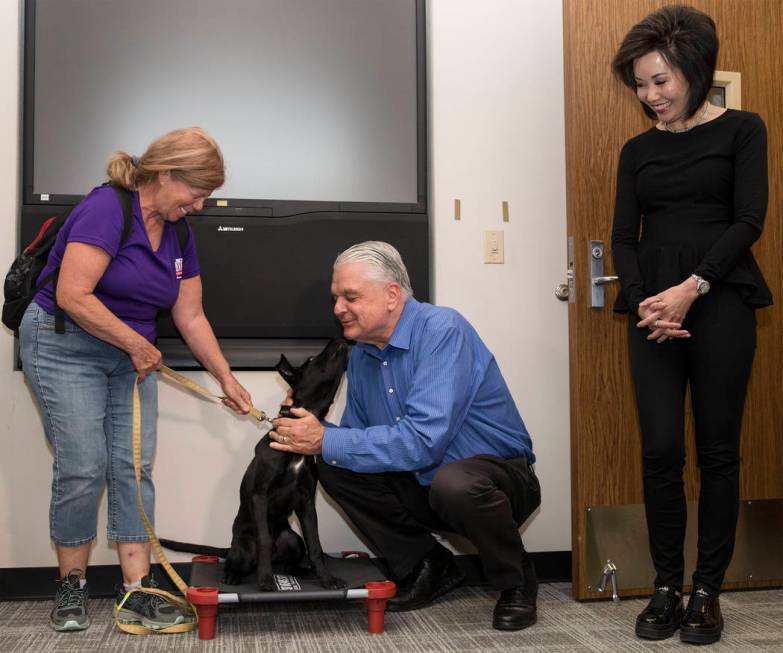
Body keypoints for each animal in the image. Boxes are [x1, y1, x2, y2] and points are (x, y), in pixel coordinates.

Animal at [159, 336, 350, 592]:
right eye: (311, 359)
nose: (338, 338)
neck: (293, 446)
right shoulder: (260, 495)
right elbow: (264, 540)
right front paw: (266, 579)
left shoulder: (307, 501)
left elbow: (315, 544)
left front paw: (326, 578)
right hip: (244, 546)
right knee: (237, 561)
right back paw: (233, 575)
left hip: (293, 539)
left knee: (290, 562)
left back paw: (303, 570)